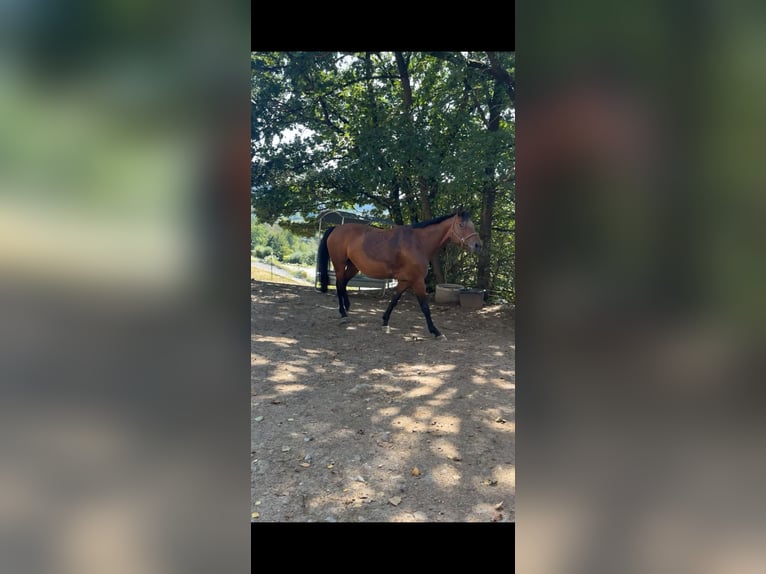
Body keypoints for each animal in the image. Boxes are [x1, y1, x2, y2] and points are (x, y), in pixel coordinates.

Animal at [317, 211, 482, 340]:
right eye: (461, 225)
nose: (478, 245)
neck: (418, 243)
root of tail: (336, 228)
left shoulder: (405, 281)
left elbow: (394, 300)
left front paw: (385, 323)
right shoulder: (417, 281)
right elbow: (425, 307)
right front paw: (436, 332)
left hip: (353, 266)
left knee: (344, 283)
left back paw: (347, 307)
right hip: (339, 265)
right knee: (339, 284)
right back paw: (343, 314)